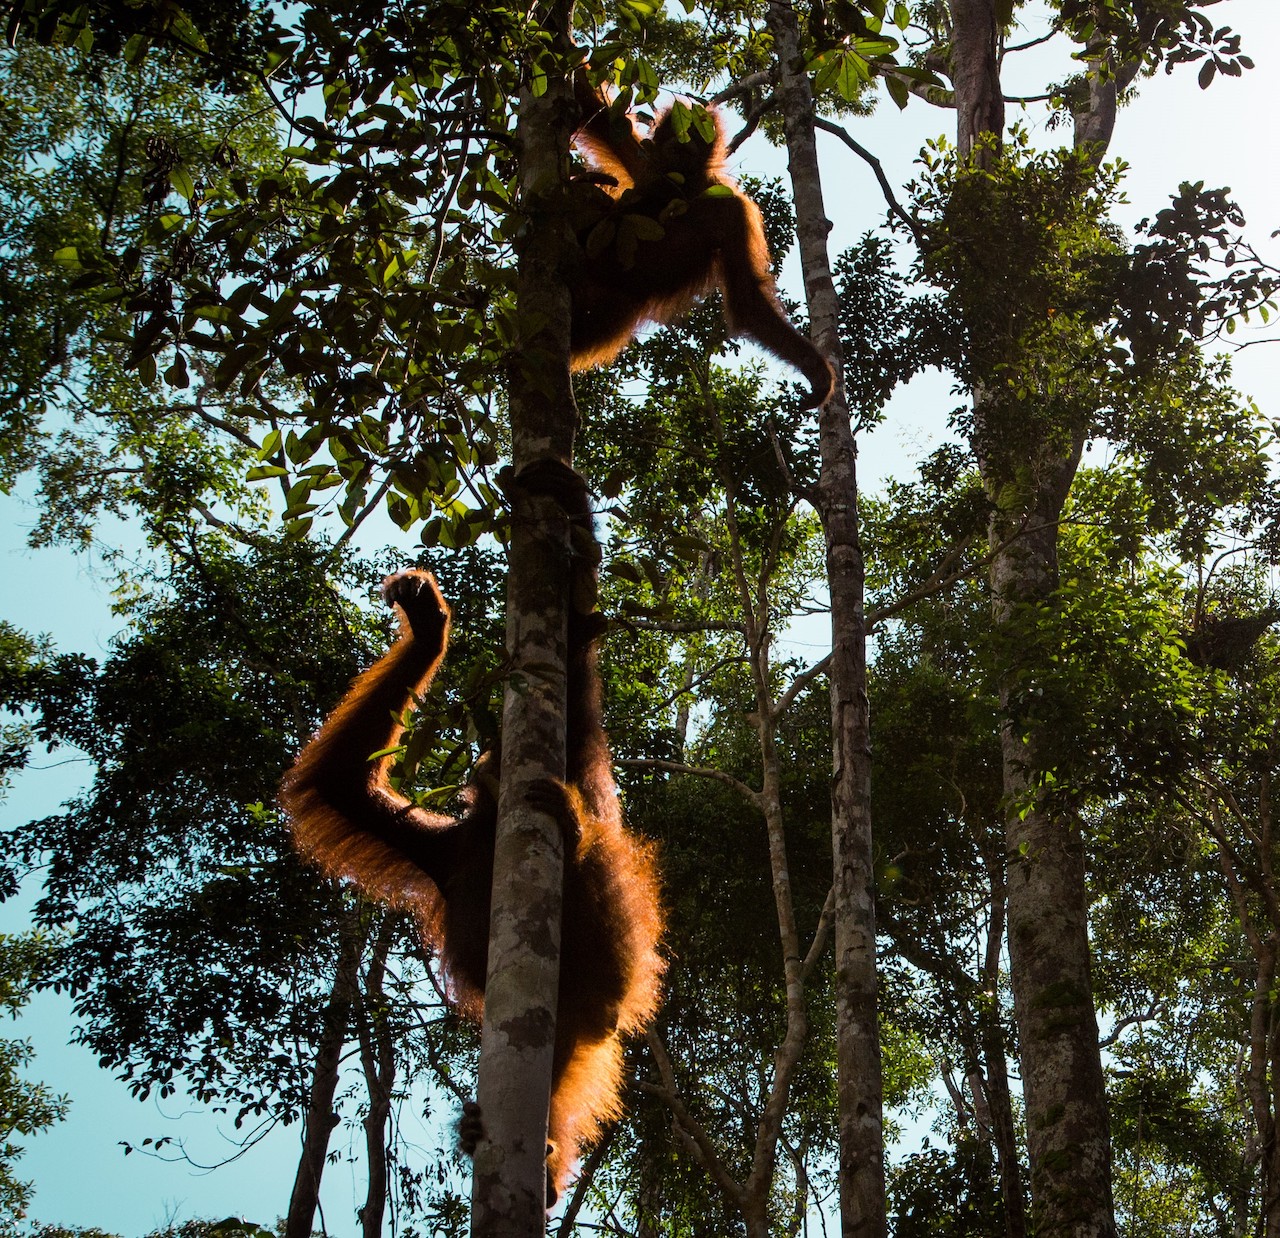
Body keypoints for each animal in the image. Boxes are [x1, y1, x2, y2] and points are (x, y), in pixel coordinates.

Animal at [279, 463, 664, 1205]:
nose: (483, 764)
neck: (485, 831)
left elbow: (575, 687)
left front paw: (577, 542)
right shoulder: (441, 846)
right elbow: (343, 785)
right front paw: (428, 632)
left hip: (611, 981)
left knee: (600, 873)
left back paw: (573, 832)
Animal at [568, 65, 835, 410]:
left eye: (693, 136)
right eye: (675, 135)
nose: (681, 144)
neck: (685, 191)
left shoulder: (732, 210)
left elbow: (748, 300)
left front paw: (817, 370)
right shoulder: (648, 167)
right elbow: (602, 118)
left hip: (609, 305)